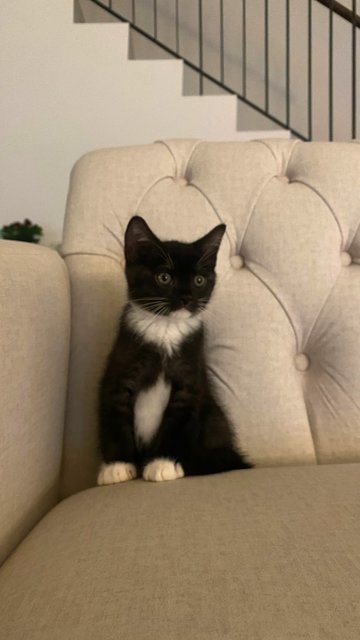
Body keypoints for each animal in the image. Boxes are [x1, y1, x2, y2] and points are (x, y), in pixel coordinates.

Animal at [97, 216, 252, 484]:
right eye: (164, 278)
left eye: (199, 280)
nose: (186, 298)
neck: (165, 329)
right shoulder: (121, 366)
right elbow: (115, 413)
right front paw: (117, 466)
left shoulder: (190, 376)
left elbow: (179, 420)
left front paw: (164, 463)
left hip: (213, 415)